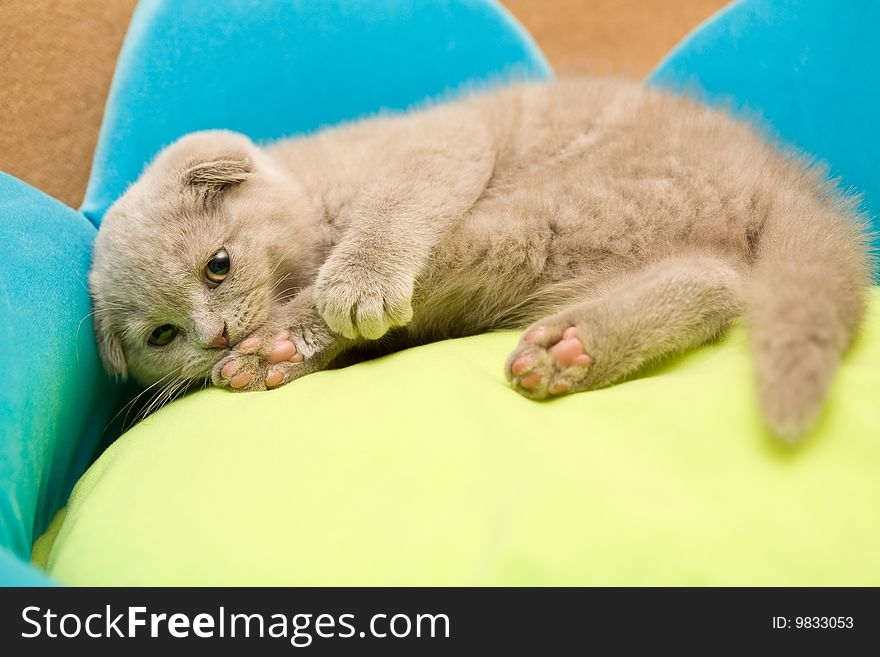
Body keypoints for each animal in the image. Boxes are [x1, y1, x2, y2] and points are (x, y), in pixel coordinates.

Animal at [86, 79, 868, 444]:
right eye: (161, 336)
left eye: (217, 265)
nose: (215, 335)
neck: (312, 196)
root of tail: (779, 171)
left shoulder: (444, 141)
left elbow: (399, 199)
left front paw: (357, 283)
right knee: (712, 282)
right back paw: (570, 350)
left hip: (537, 210)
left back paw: (275, 345)